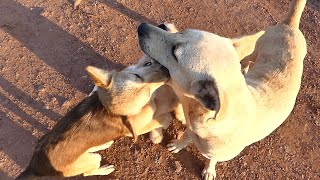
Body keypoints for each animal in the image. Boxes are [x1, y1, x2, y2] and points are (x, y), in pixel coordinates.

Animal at [138, 0, 308, 179]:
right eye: (183, 32)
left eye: (174, 53)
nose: (142, 27)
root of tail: (290, 26)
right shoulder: (191, 127)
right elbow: (186, 135)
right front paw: (179, 144)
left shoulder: (216, 152)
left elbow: (211, 159)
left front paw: (209, 169)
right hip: (254, 51)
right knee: (247, 60)